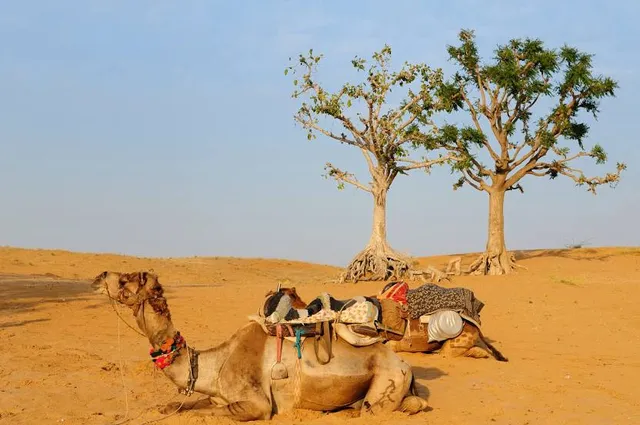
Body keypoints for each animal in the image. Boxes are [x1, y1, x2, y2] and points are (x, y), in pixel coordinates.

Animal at [91, 271, 429, 421]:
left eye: (127, 280)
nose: (100, 276)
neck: (214, 364)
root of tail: (405, 365)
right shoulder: (214, 393)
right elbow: (187, 404)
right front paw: (165, 407)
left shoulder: (257, 404)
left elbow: (223, 412)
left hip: (387, 383)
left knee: (384, 408)